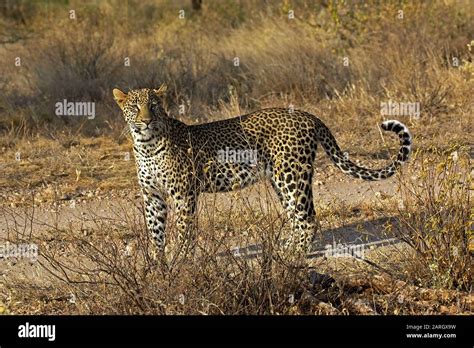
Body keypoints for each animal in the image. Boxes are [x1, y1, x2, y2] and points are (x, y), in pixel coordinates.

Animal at [112, 85, 412, 256]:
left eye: (153, 106)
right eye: (135, 107)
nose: (146, 121)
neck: (146, 145)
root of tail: (308, 115)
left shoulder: (183, 194)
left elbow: (184, 232)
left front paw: (180, 261)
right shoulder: (152, 196)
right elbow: (155, 231)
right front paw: (157, 265)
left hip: (292, 175)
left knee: (308, 218)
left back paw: (294, 256)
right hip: (281, 180)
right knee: (297, 217)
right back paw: (289, 248)